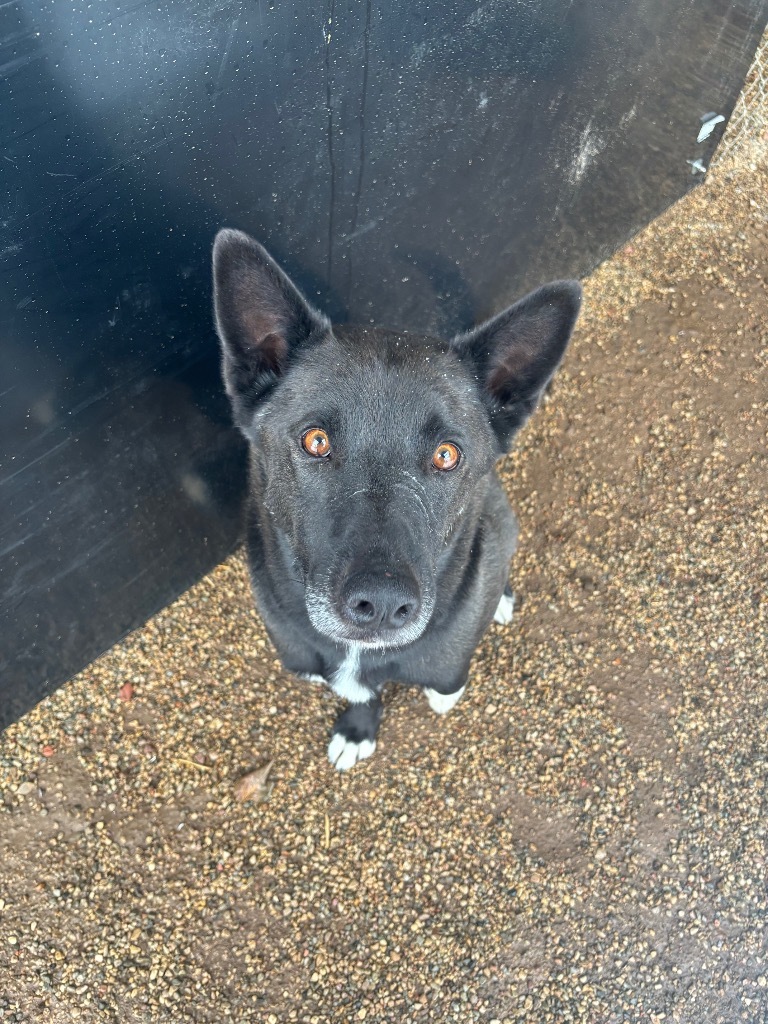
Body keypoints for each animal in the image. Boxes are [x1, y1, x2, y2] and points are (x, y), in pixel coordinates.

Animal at [214, 232, 581, 770]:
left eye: (447, 455)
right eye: (316, 441)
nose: (383, 603)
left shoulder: (448, 662)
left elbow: (441, 683)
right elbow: (363, 693)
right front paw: (359, 728)